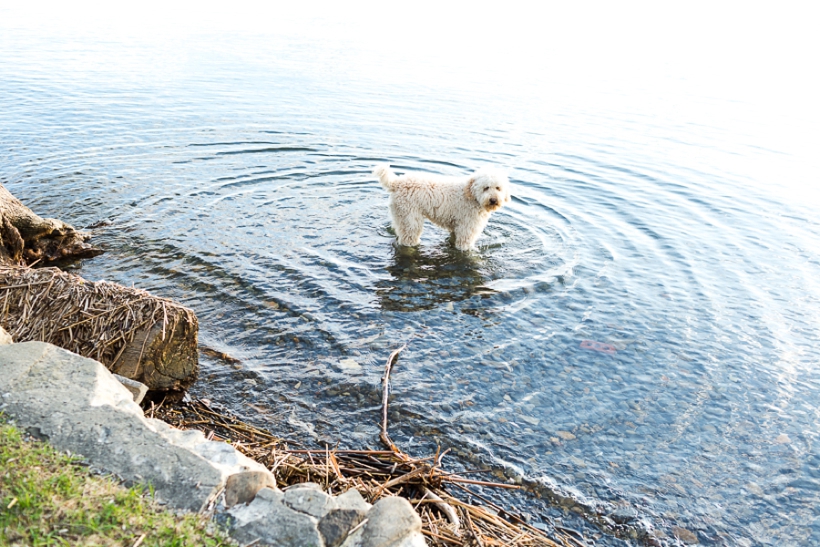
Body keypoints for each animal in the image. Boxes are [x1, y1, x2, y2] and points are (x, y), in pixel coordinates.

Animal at [374, 165, 512, 250]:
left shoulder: (458, 227)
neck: (472, 196)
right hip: (410, 218)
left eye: (498, 188)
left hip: (400, 215)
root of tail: (396, 183)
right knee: (408, 238)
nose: (493, 200)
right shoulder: (467, 229)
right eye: (486, 188)